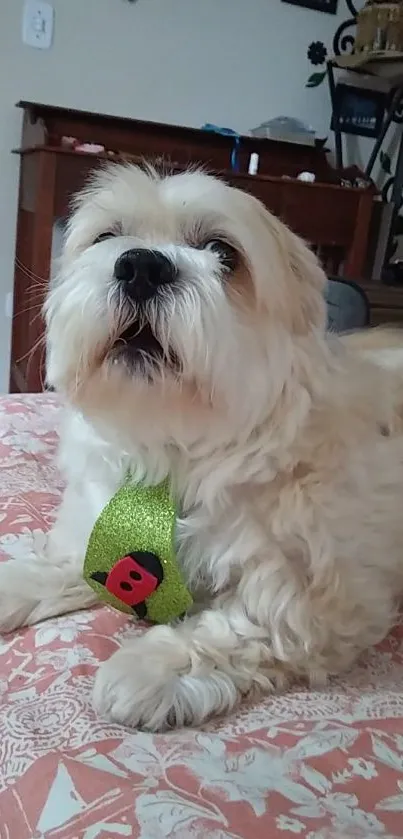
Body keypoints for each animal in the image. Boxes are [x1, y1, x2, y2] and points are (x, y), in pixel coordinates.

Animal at [0, 162, 403, 728]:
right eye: (106, 237)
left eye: (223, 253)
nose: (141, 265)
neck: (174, 452)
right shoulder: (99, 523)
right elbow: (67, 562)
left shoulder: (314, 602)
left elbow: (242, 629)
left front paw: (152, 669)